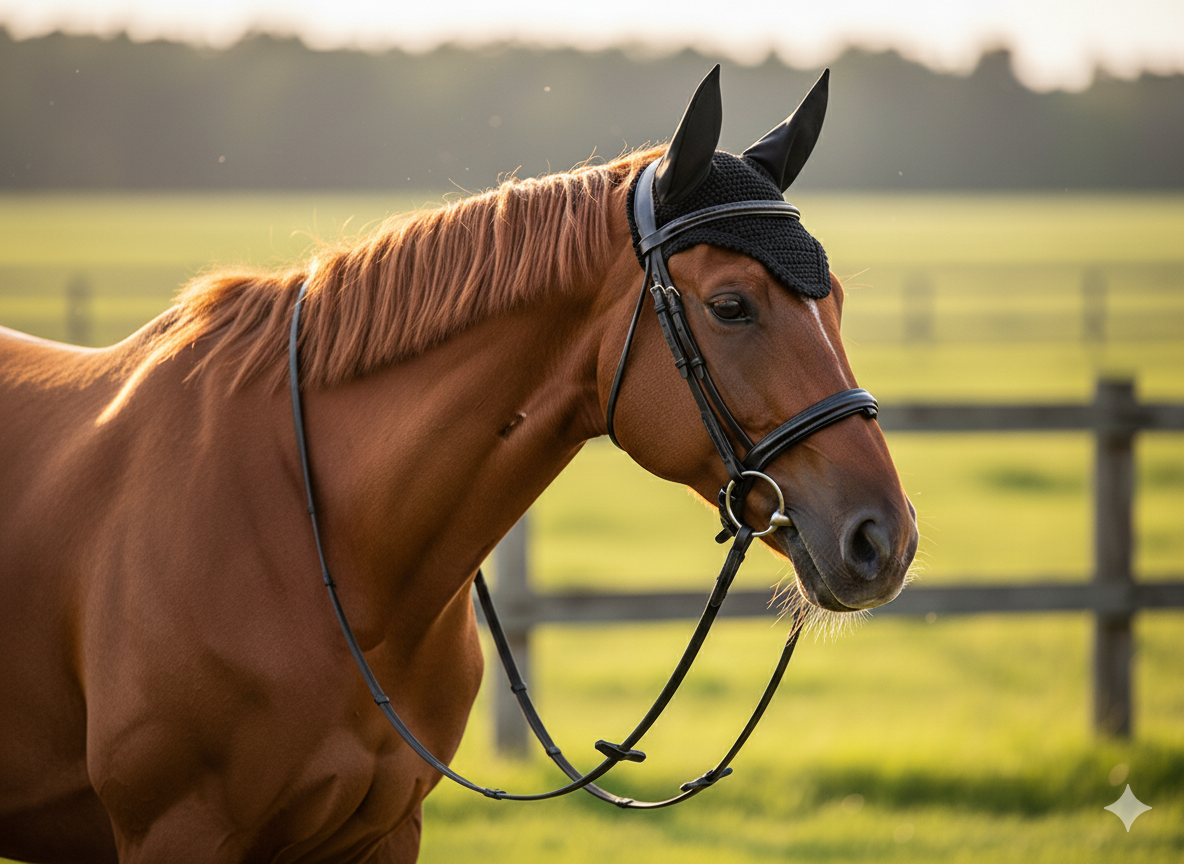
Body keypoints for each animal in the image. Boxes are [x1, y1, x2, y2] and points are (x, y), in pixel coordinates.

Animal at [0, 67, 918, 862]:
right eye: (731, 306)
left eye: (836, 300)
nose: (885, 540)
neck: (325, 549)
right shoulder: (178, 831)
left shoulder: (382, 833)